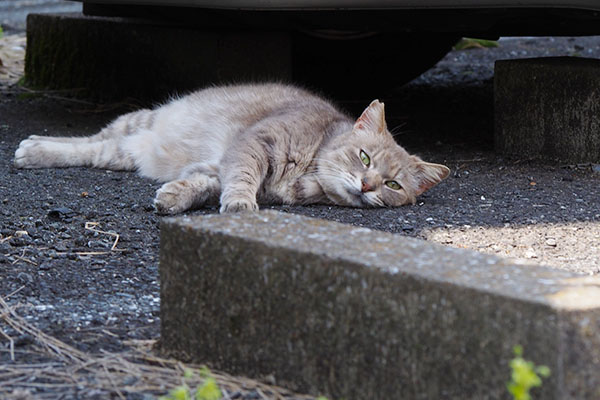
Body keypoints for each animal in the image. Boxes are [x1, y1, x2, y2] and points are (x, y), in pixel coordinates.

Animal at [12, 82, 450, 212]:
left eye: (393, 185)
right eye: (364, 157)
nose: (367, 185)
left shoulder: (215, 167)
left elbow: (203, 184)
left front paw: (175, 196)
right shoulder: (255, 145)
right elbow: (242, 178)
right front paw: (240, 203)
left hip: (125, 150)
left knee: (98, 150)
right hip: (136, 122)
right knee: (88, 142)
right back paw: (33, 149)